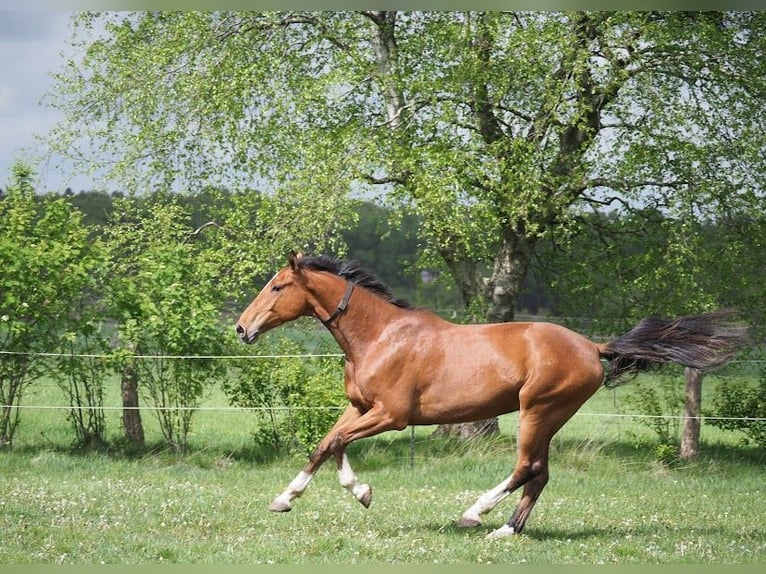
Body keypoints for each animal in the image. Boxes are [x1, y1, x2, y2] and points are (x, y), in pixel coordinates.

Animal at [236, 252, 752, 540]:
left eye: (277, 286)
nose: (242, 328)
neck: (380, 336)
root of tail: (593, 346)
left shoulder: (391, 415)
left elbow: (339, 444)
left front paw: (360, 492)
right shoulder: (360, 407)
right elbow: (325, 444)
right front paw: (285, 499)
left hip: (537, 411)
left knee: (526, 467)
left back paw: (474, 514)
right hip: (548, 417)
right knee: (540, 474)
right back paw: (505, 530)